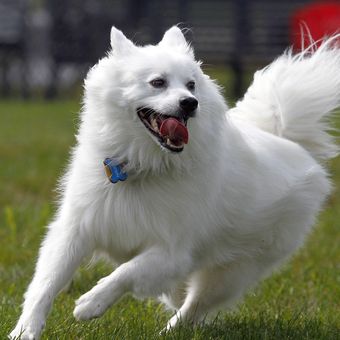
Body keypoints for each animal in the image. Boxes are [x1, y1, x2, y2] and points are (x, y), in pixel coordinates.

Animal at [9, 27, 338, 340]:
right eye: (158, 82)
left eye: (191, 85)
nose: (190, 103)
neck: (141, 166)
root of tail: (284, 139)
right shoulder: (75, 230)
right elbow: (45, 283)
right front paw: (25, 330)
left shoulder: (172, 252)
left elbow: (127, 272)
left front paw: (91, 303)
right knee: (180, 299)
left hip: (232, 271)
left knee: (193, 306)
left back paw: (169, 331)